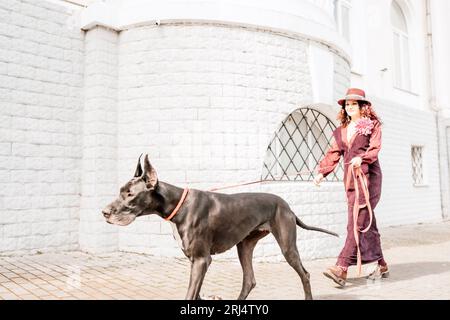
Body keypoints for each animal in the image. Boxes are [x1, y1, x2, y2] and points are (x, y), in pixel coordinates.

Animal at [103, 155, 338, 300]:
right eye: (120, 191)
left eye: (130, 194)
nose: (104, 212)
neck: (178, 205)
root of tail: (287, 205)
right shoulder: (196, 260)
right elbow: (196, 292)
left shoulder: (201, 259)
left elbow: (190, 293)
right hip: (244, 245)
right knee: (249, 281)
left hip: (287, 246)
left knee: (305, 274)